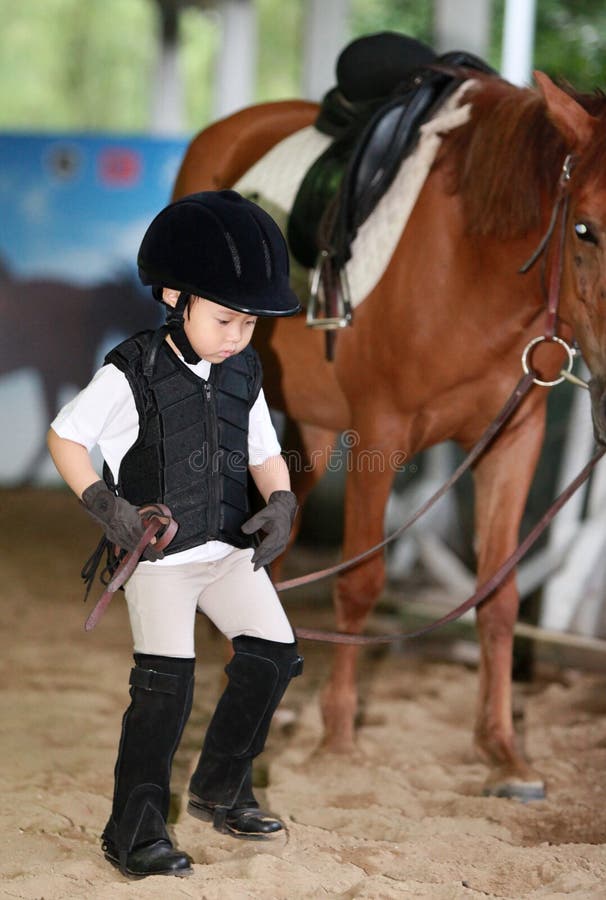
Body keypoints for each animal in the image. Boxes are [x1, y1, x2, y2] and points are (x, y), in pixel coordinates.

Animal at [175, 72, 606, 800]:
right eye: (585, 227)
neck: (474, 260)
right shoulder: (382, 431)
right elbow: (361, 582)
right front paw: (339, 740)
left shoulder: (514, 437)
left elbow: (499, 593)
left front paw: (503, 752)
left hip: (308, 426)